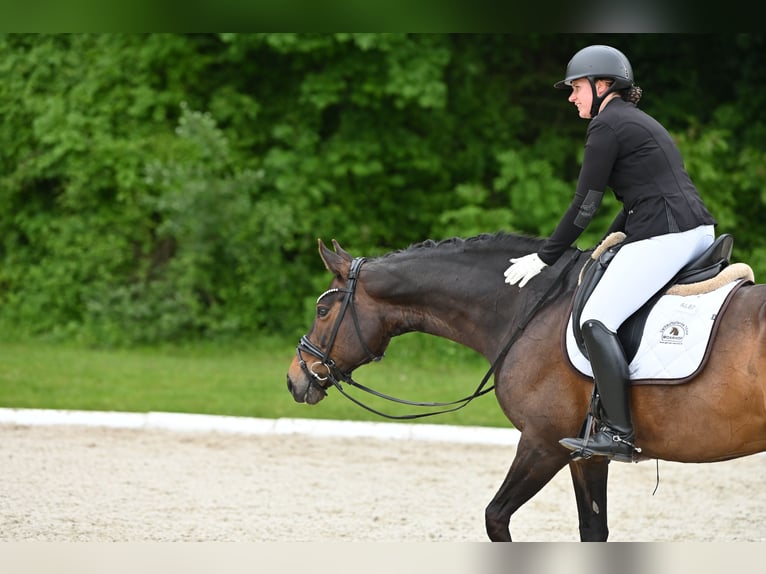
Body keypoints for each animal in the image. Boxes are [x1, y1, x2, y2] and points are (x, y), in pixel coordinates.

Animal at [286, 232, 766, 541]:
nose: (295, 377)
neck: (528, 309)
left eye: (324, 311)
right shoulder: (585, 454)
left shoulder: (543, 443)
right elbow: (593, 530)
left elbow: (495, 518)